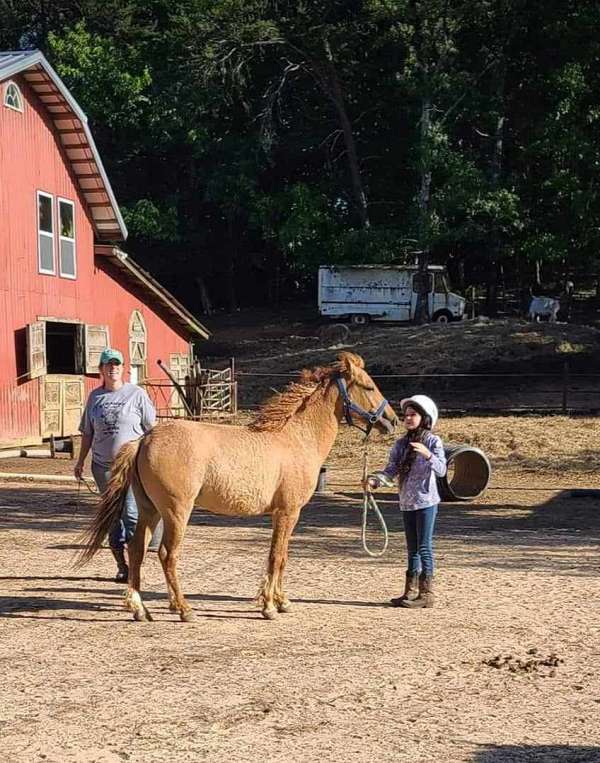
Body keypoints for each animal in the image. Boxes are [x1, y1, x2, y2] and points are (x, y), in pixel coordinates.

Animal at [77, 351, 398, 622]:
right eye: (369, 387)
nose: (392, 421)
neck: (296, 438)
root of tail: (145, 438)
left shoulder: (282, 515)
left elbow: (280, 556)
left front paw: (281, 601)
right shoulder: (288, 512)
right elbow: (277, 556)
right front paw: (269, 607)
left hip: (150, 509)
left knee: (136, 549)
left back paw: (140, 609)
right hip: (176, 511)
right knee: (167, 554)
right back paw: (184, 609)